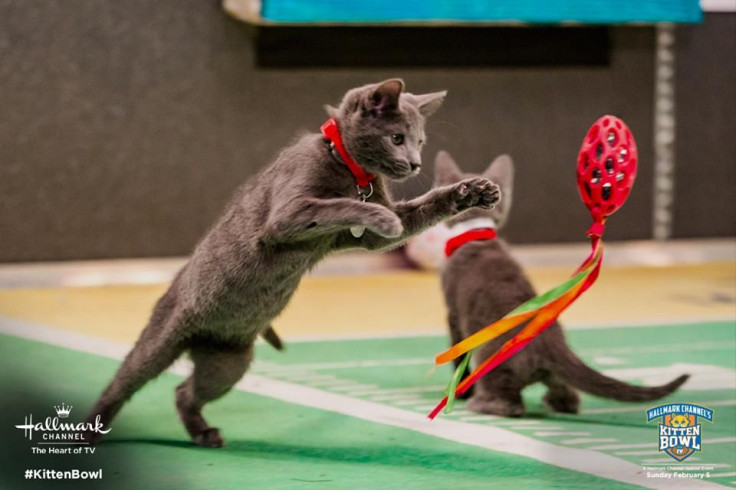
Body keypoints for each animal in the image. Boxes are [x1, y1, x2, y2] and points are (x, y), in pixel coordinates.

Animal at [85, 77, 500, 448]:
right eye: (397, 138)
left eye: (420, 141)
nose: (414, 163)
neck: (350, 169)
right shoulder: (288, 213)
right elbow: (337, 205)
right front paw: (380, 215)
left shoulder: (367, 237)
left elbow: (420, 207)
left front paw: (472, 192)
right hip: (161, 339)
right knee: (123, 381)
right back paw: (93, 429)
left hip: (228, 364)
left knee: (184, 391)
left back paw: (204, 434)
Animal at [434, 150, 688, 418]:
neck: (475, 234)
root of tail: (551, 344)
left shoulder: (453, 311)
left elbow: (457, 352)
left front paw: (460, 392)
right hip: (553, 374)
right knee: (567, 394)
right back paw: (557, 402)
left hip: (490, 358)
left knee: (510, 404)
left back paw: (481, 403)